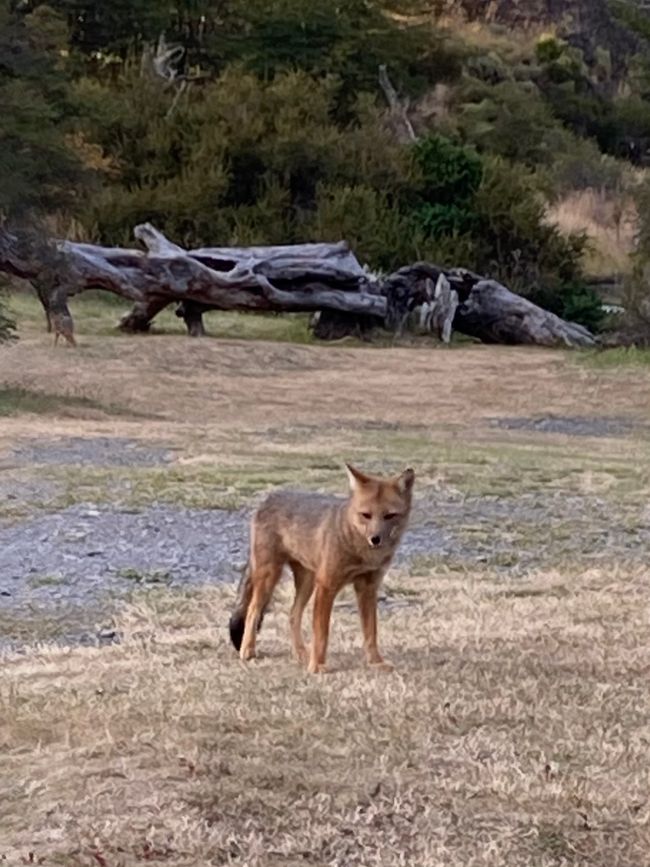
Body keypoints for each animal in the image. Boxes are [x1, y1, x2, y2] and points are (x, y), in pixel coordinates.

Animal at [228, 464, 412, 676]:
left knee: (293, 615)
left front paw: (375, 662)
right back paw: (248, 650)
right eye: (366, 515)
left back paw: (300, 653)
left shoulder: (367, 588)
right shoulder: (327, 587)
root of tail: (270, 497)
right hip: (270, 577)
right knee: (253, 610)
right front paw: (317, 666)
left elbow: (371, 632)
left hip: (307, 583)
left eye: (390, 516)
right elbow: (322, 634)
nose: (375, 539)